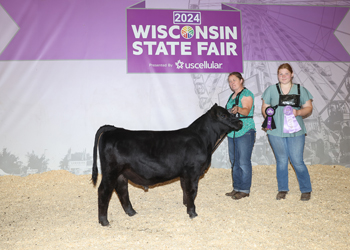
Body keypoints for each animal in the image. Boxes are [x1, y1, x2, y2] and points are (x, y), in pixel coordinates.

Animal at [91, 103, 242, 227]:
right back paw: (104, 221)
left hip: (121, 173)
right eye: (223, 115)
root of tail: (114, 129)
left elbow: (185, 190)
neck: (203, 139)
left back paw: (131, 212)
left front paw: (186, 205)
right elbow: (192, 190)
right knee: (104, 191)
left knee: (122, 189)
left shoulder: (185, 174)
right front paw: (192, 213)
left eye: (231, 113)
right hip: (110, 171)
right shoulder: (193, 171)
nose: (240, 121)